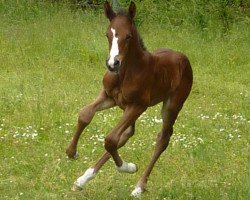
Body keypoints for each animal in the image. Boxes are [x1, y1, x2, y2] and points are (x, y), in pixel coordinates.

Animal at [65, 0, 192, 196]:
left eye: (128, 36)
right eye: (108, 34)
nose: (112, 64)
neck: (125, 72)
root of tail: (183, 58)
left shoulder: (138, 105)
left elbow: (110, 139)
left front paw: (126, 167)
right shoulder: (109, 96)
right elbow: (85, 114)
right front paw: (72, 152)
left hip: (172, 106)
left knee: (162, 139)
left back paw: (139, 186)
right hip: (127, 108)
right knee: (126, 134)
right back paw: (83, 179)